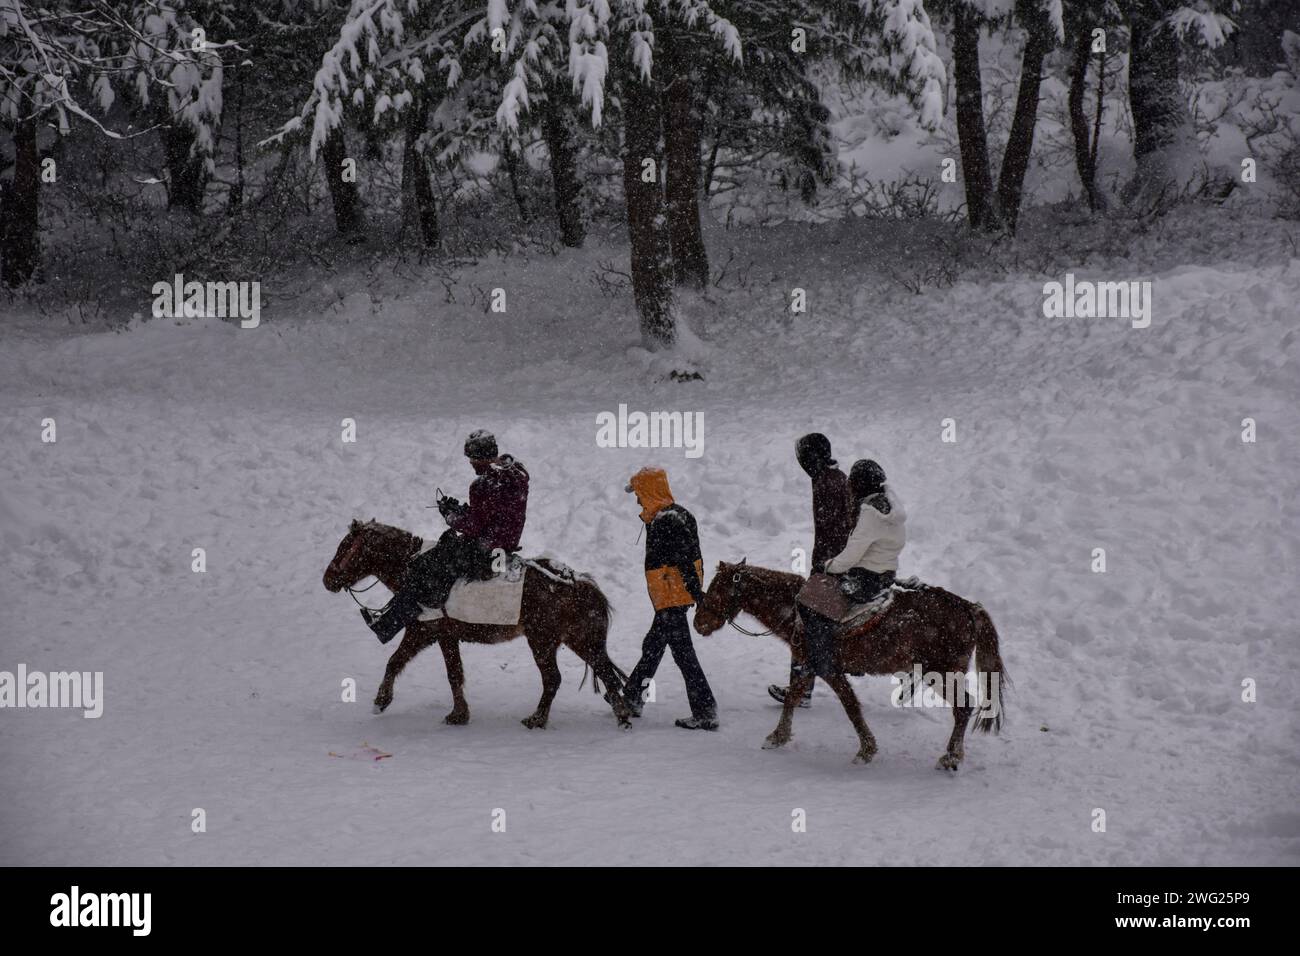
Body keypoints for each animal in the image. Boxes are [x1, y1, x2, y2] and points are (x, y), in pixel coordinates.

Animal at [322, 520, 631, 728]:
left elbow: (399, 662)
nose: (327, 580)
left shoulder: (424, 631)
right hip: (575, 639)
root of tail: (578, 583)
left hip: (542, 640)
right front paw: (459, 714)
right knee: (605, 672)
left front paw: (382, 701)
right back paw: (623, 715)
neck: (414, 569)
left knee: (554, 678)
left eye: (345, 547)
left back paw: (538, 719)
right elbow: (449, 672)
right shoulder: (443, 635)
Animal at [696, 561, 1008, 770]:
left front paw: (866, 750)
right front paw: (778, 736)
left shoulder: (829, 669)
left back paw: (951, 757)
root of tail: (968, 607)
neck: (797, 611)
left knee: (963, 707)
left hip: (941, 672)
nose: (699, 623)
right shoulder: (808, 665)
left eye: (717, 590)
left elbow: (851, 707)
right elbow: (794, 697)